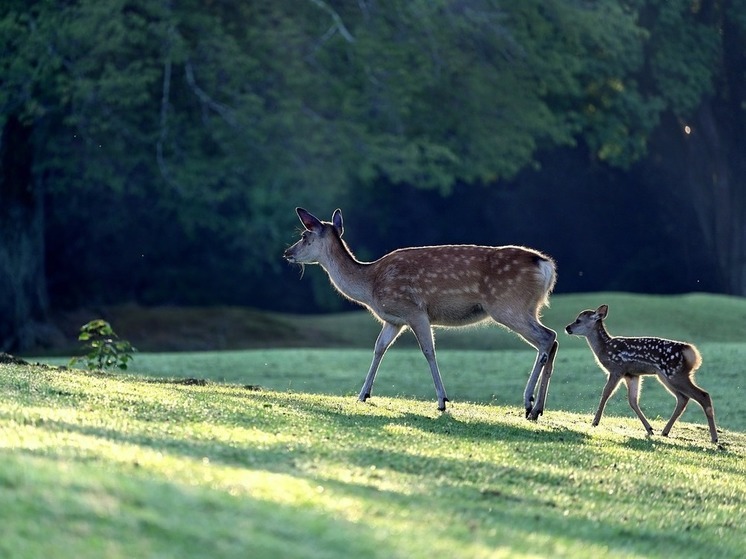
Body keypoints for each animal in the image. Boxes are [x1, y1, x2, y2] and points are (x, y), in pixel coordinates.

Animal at [282, 208, 556, 418]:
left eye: (304, 236)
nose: (287, 253)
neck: (370, 285)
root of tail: (546, 266)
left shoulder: (414, 311)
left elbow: (428, 350)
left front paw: (442, 401)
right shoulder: (394, 320)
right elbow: (379, 348)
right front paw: (362, 395)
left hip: (508, 306)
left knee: (547, 337)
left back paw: (528, 403)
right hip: (528, 308)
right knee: (552, 339)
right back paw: (538, 409)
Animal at [568, 304, 716, 444]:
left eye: (578, 320)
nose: (567, 328)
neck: (604, 348)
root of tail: (691, 353)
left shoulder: (617, 369)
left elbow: (606, 393)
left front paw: (595, 422)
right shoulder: (632, 375)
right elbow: (633, 401)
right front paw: (649, 429)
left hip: (674, 374)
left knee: (703, 395)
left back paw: (714, 438)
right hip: (666, 376)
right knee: (683, 398)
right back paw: (664, 431)